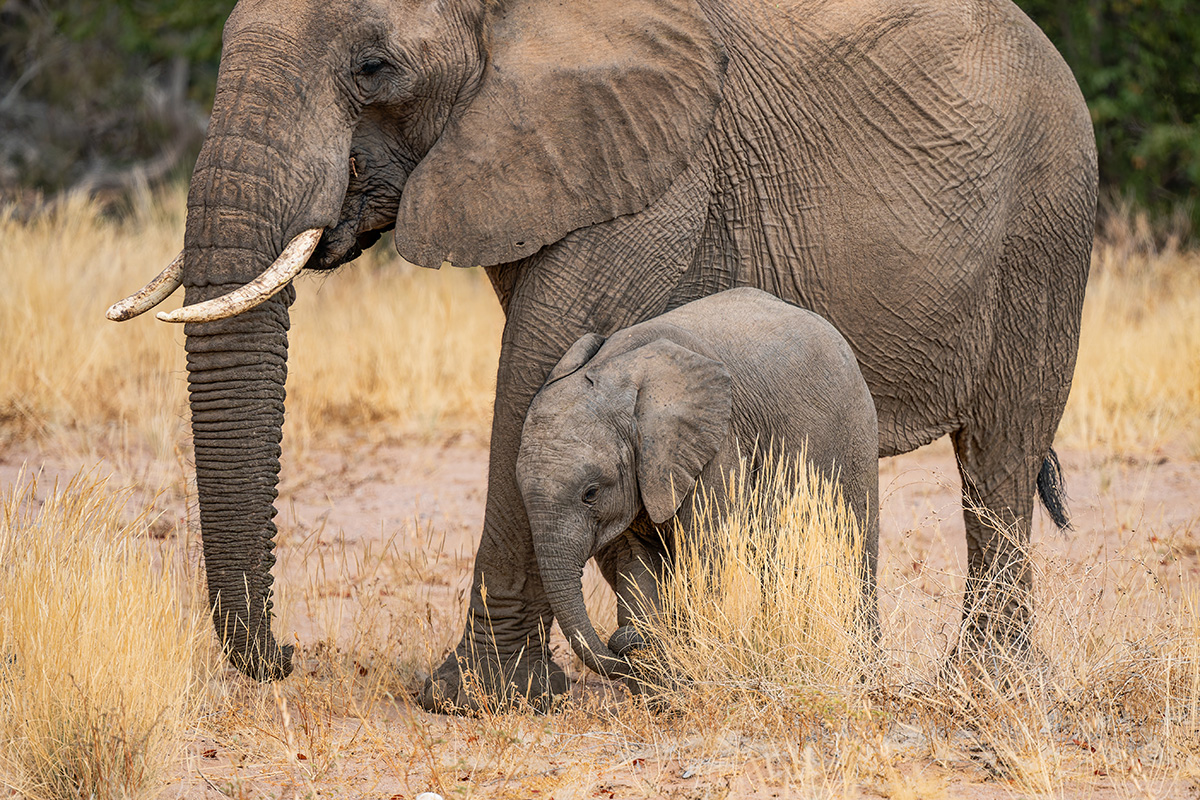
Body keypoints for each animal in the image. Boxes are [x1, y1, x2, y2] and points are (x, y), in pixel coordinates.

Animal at [516, 288, 880, 684]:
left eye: (590, 493)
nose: (623, 643)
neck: (616, 372)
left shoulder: (719, 443)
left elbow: (704, 554)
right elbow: (636, 563)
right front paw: (664, 673)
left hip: (855, 429)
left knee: (855, 545)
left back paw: (864, 671)